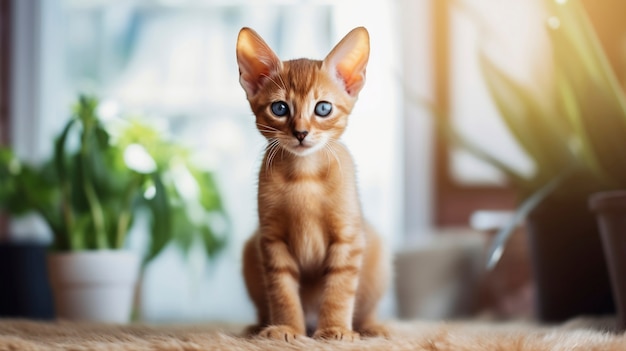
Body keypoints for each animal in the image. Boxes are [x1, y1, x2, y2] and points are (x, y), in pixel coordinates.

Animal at [238, 26, 390, 340]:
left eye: (322, 109)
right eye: (280, 108)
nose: (300, 133)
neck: (304, 176)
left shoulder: (348, 238)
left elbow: (339, 291)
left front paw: (335, 330)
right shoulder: (271, 240)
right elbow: (282, 291)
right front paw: (286, 328)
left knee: (365, 309)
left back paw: (372, 327)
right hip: (249, 250)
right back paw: (259, 326)